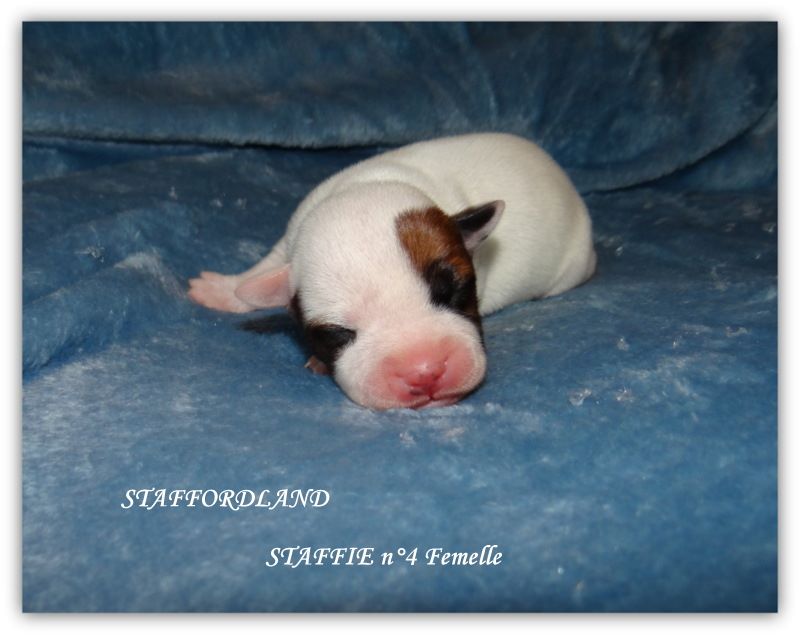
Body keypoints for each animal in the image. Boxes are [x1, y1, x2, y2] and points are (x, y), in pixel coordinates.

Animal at [188, 133, 596, 410]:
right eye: (337, 333)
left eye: (453, 292)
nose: (424, 372)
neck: (365, 186)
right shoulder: (290, 239)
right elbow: (266, 268)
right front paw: (222, 289)